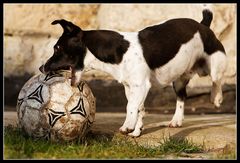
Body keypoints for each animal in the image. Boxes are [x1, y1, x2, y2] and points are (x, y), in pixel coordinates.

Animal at [39, 9, 227, 138]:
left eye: (57, 48)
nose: (41, 68)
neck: (117, 51)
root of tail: (203, 25)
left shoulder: (140, 85)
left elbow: (131, 107)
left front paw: (127, 126)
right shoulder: (131, 87)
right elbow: (138, 107)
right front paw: (136, 130)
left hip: (214, 64)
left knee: (217, 80)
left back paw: (216, 98)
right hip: (179, 80)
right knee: (181, 97)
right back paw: (176, 120)